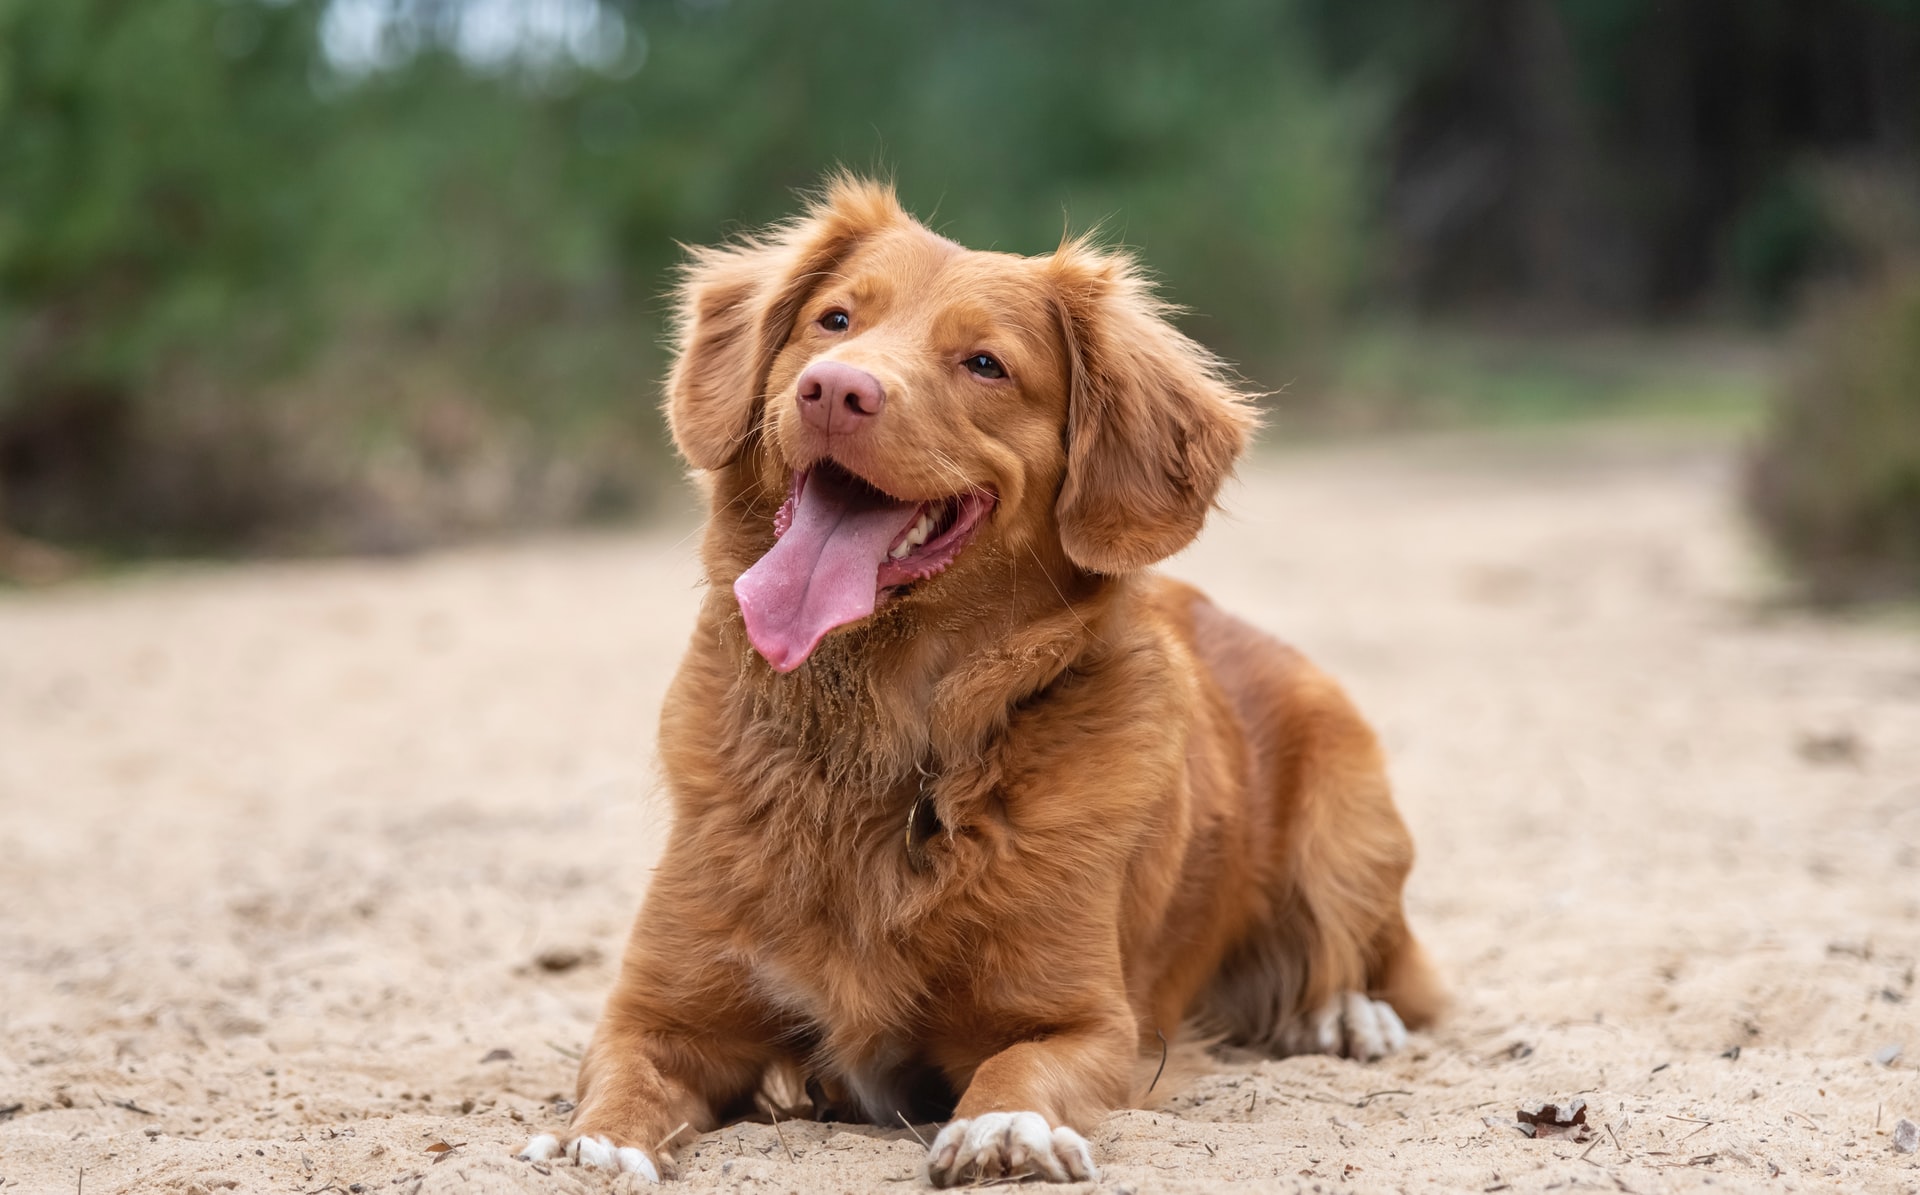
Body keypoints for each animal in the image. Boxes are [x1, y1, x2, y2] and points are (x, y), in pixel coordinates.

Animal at [518, 175, 1443, 1191]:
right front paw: (593, 1144)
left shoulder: (1087, 1020)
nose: (834, 388)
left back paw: (1344, 1015)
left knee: (1374, 960)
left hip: (1346, 816)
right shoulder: (659, 1010)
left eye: (986, 365)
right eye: (833, 320)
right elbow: (623, 1079)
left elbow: (1020, 1065)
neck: (881, 735)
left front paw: (1008, 1129)